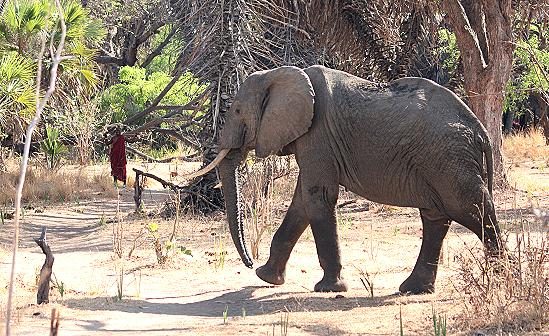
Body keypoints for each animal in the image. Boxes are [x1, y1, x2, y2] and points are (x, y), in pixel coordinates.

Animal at [186, 64, 504, 292]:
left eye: (238, 111)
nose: (250, 264)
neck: (279, 74)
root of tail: (481, 130)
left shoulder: (318, 136)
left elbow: (318, 197)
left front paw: (329, 288)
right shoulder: (312, 141)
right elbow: (302, 202)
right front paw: (268, 278)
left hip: (449, 159)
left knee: (472, 210)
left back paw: (504, 276)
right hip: (442, 160)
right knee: (436, 218)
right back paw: (413, 289)